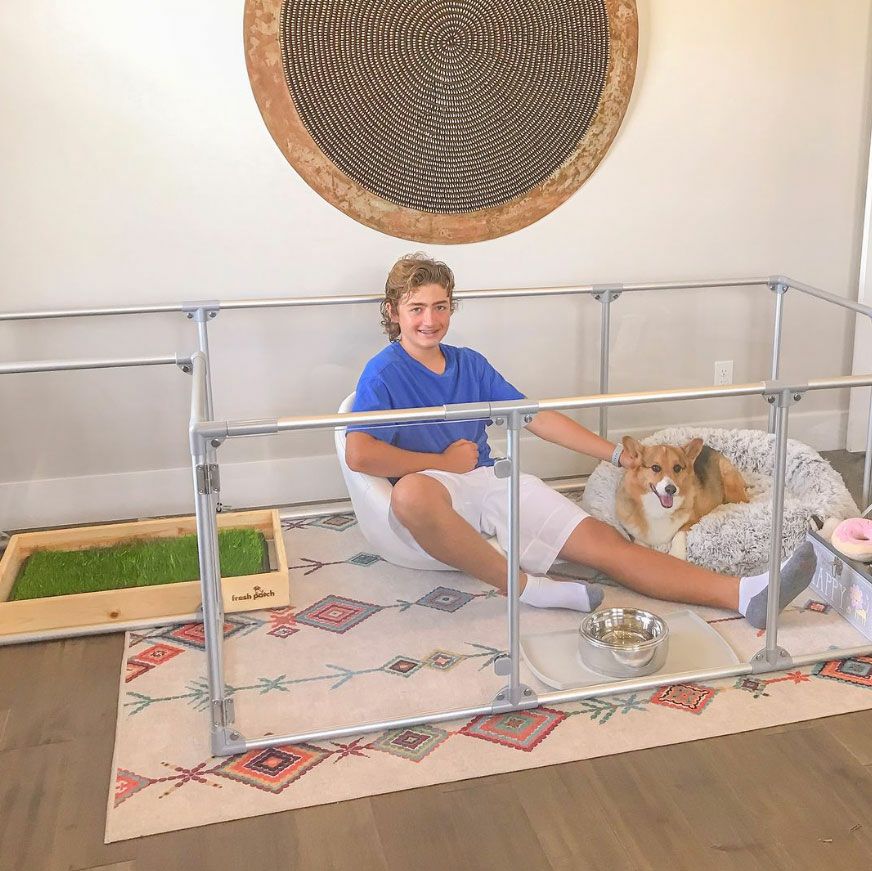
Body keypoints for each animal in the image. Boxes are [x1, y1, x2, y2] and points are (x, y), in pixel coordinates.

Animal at [615, 436, 749, 559]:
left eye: (677, 468)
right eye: (655, 468)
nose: (671, 489)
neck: (659, 510)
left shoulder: (693, 520)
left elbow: (678, 534)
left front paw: (676, 554)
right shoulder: (635, 534)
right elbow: (640, 542)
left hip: (732, 487)